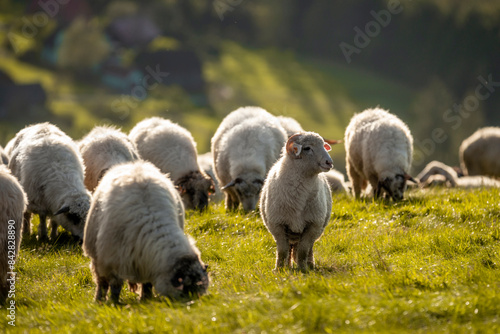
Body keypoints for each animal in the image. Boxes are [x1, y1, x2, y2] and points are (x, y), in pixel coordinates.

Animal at [83, 160, 208, 304]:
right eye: (186, 290)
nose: (192, 303)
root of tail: (133, 164)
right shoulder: (112, 261)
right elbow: (114, 286)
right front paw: (114, 303)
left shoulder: (147, 262)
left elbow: (147, 284)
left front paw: (146, 298)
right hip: (97, 255)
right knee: (101, 282)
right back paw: (99, 299)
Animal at [260, 133, 334, 272]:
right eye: (307, 148)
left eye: (323, 145)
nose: (329, 162)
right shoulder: (278, 225)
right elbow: (282, 251)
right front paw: (279, 269)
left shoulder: (313, 225)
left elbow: (303, 250)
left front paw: (302, 269)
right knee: (289, 248)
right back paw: (288, 266)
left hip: (315, 230)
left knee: (308, 248)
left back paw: (310, 265)